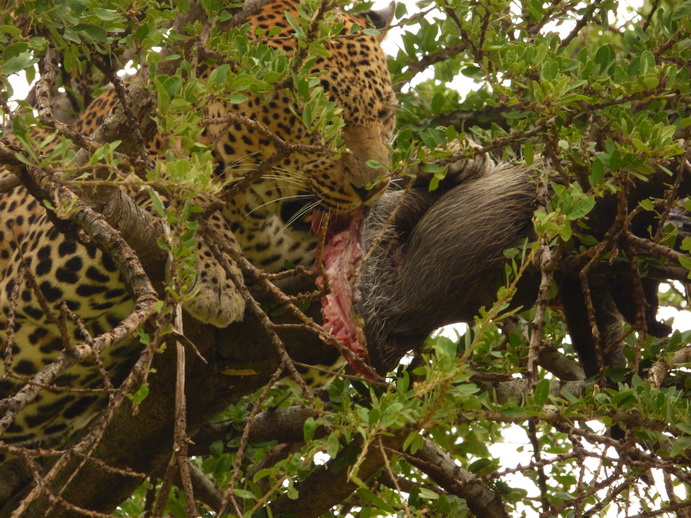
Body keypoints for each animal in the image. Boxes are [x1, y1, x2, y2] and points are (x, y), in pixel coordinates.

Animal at [0, 0, 394, 458]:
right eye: (316, 112)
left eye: (384, 114)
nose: (375, 186)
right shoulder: (50, 239)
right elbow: (168, 188)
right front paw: (215, 276)